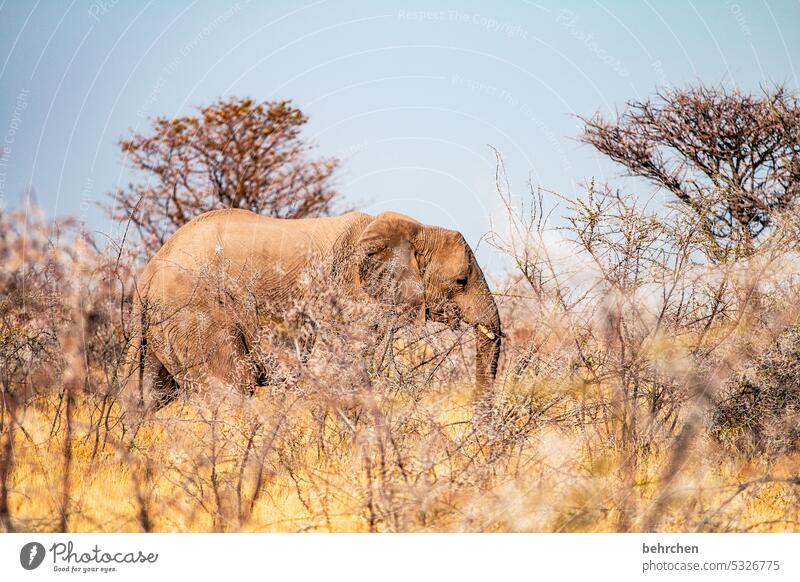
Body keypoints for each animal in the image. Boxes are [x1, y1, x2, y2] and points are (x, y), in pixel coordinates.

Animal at [123, 210, 500, 416]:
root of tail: (148, 274)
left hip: (159, 327)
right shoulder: (347, 295)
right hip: (195, 314)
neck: (415, 228)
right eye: (461, 281)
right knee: (230, 388)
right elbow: (338, 372)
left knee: (148, 398)